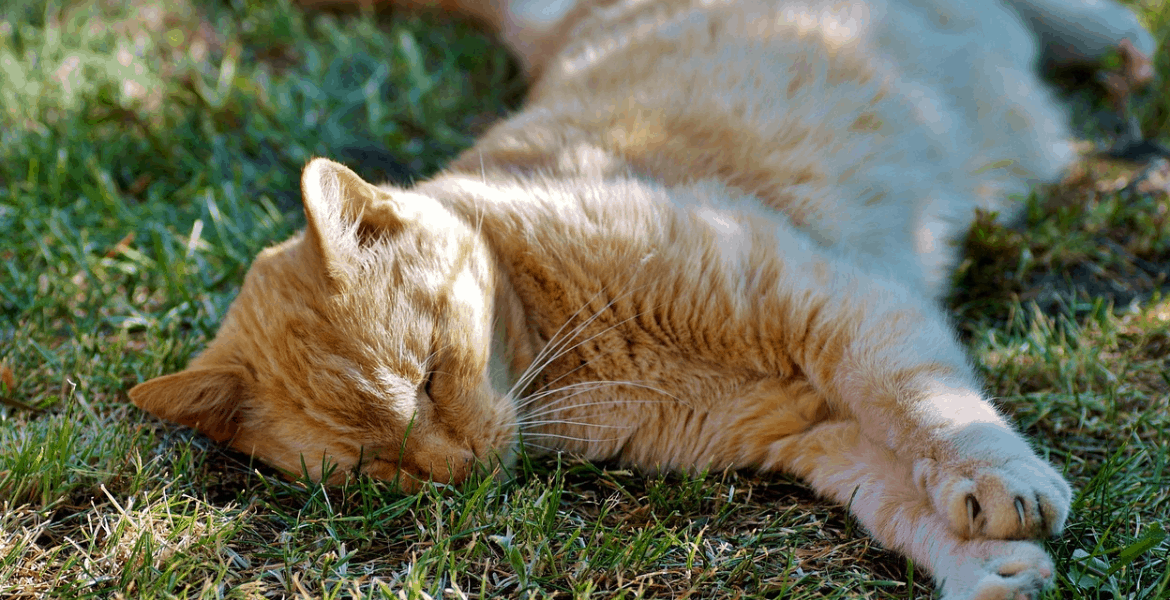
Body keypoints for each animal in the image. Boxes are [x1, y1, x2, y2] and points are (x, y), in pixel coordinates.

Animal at [132, 2, 1155, 596]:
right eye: (376, 465)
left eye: (425, 377)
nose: (456, 469)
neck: (571, 358)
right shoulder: (818, 428)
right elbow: (898, 500)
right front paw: (992, 567)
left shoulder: (840, 311)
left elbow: (933, 409)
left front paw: (1001, 485)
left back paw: (1117, 42)